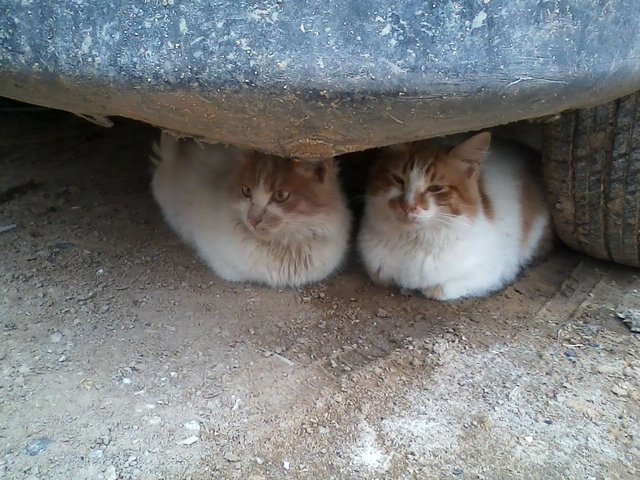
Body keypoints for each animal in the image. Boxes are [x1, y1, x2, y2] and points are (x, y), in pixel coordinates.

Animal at [358, 132, 552, 300]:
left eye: (435, 188)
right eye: (398, 180)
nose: (408, 206)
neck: (415, 240)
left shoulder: (494, 270)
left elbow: (439, 289)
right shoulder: (375, 267)